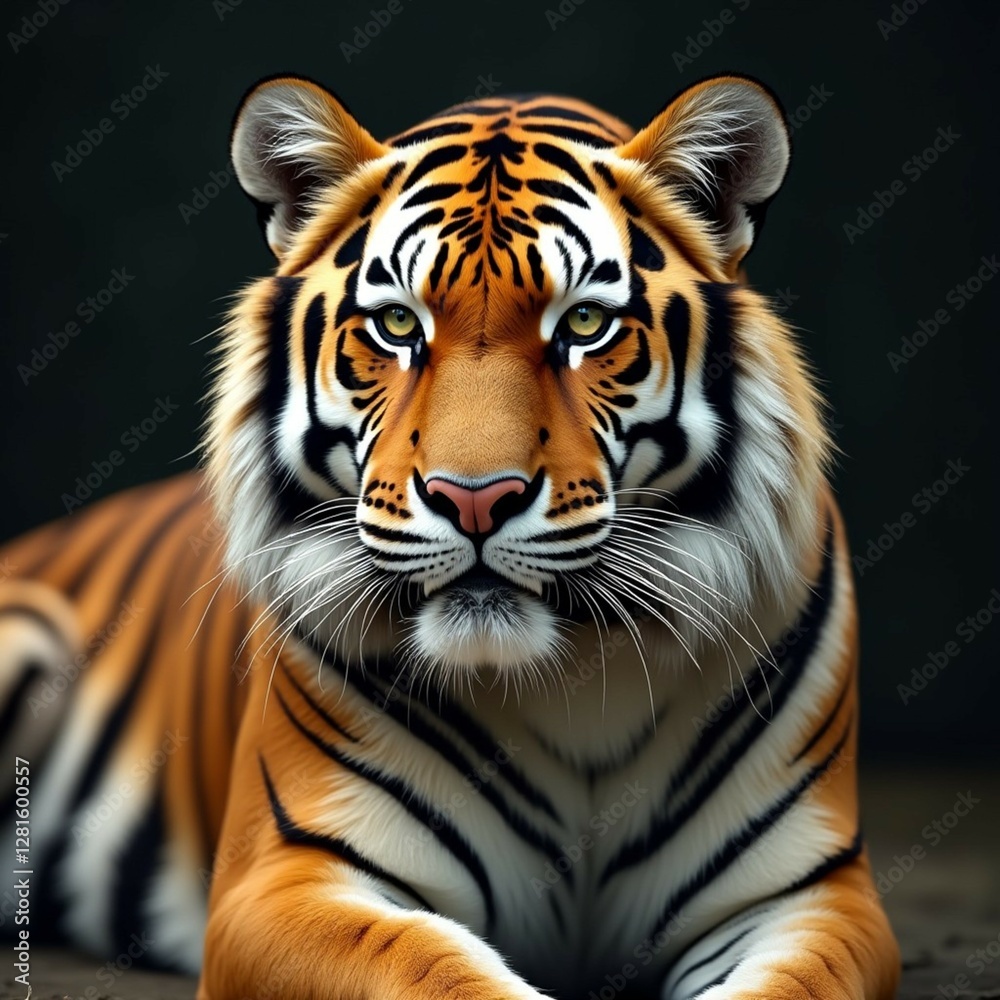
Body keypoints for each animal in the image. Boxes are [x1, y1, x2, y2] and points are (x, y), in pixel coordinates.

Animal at [0, 73, 900, 1000]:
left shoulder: (807, 894)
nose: (474, 500)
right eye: (398, 326)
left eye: (585, 326)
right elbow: (441, 973)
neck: (575, 677)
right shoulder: (285, 878)